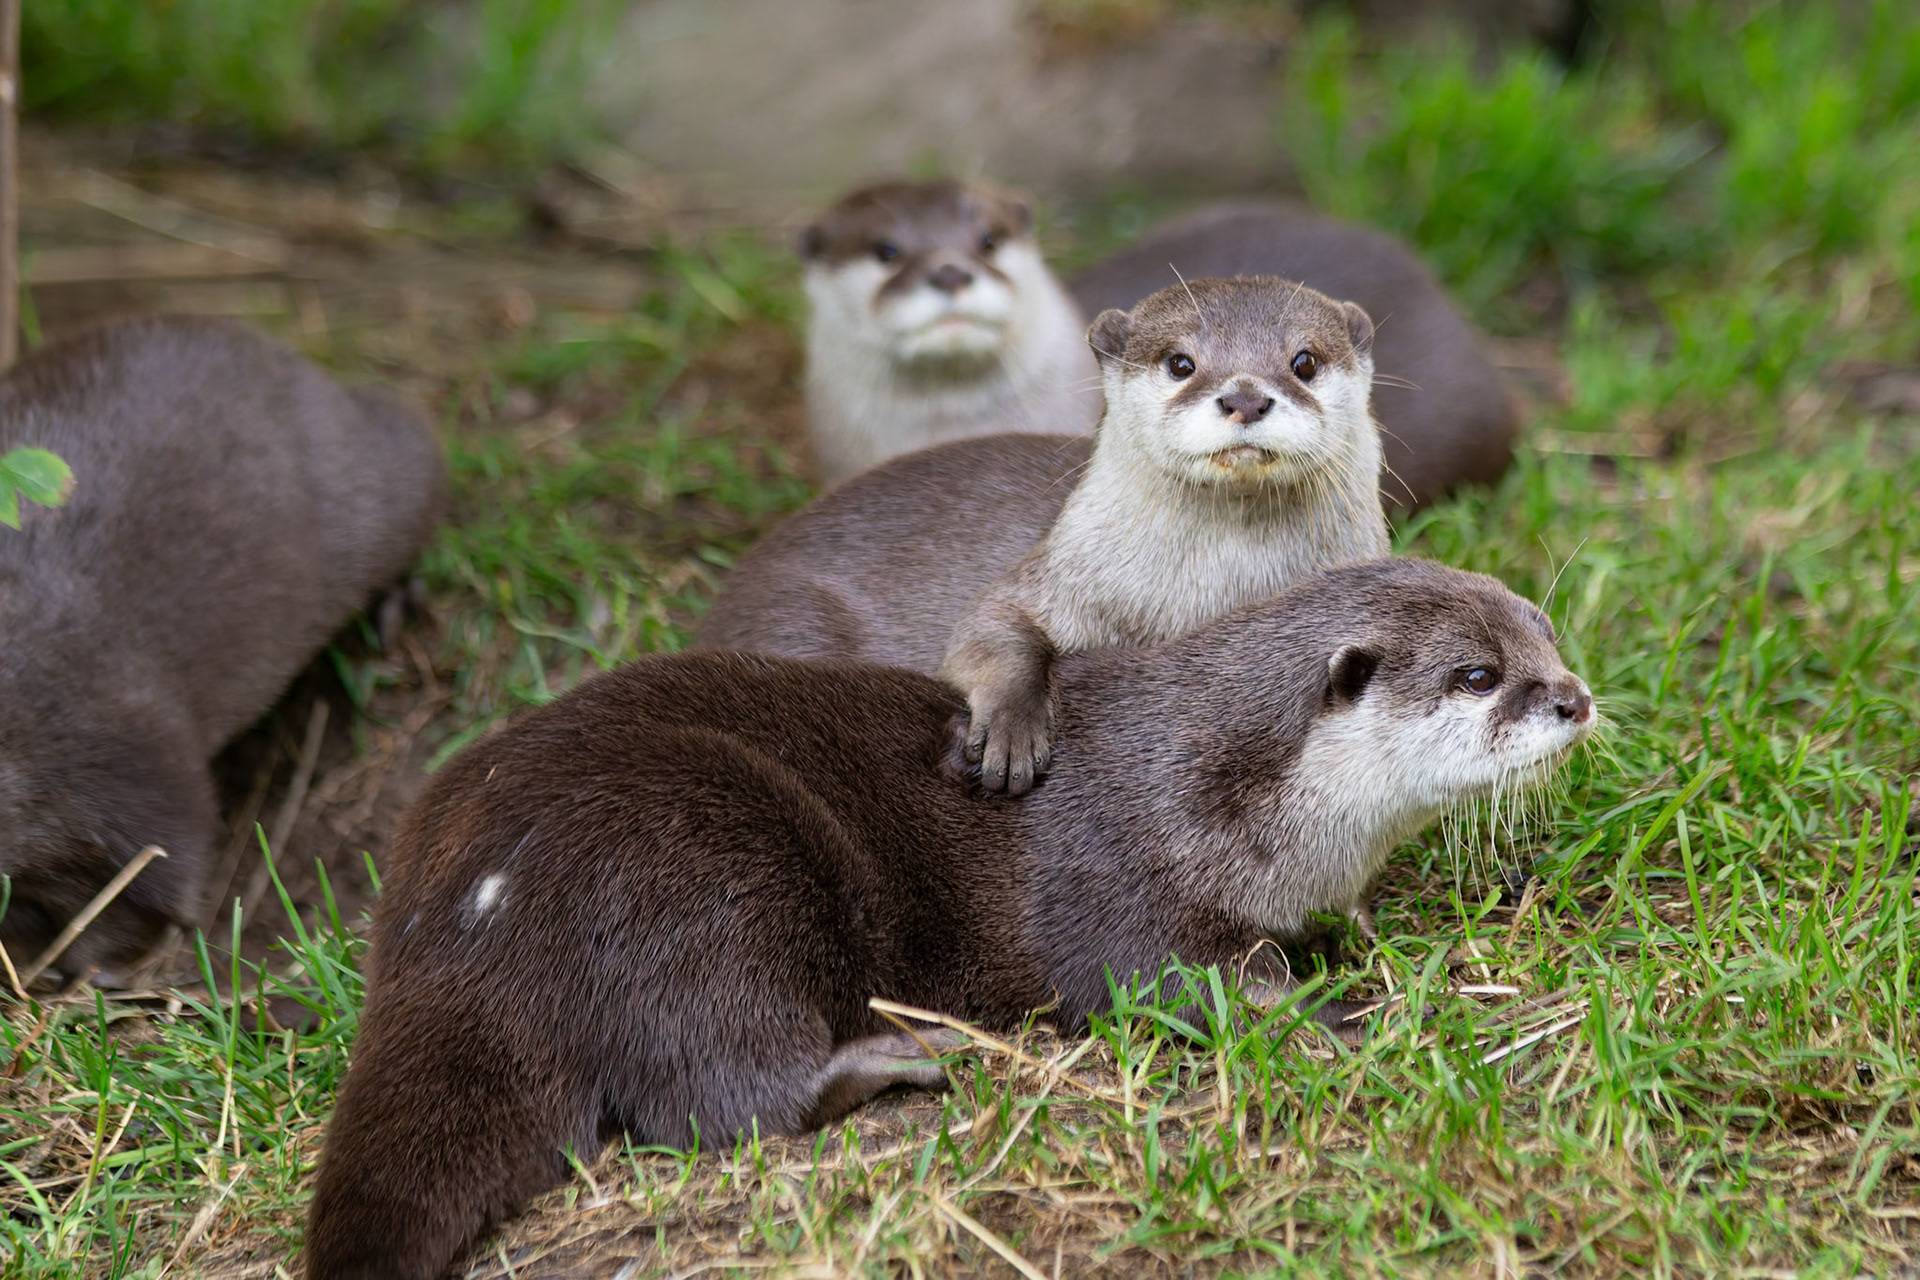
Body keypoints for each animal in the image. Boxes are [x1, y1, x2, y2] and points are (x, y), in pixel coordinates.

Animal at [305, 558, 1594, 1280]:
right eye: (1478, 675)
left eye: (1543, 627)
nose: (1576, 698)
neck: (1232, 787)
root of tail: (453, 917)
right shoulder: (1113, 869)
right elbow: (1162, 975)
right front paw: (1334, 1013)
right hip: (698, 866)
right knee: (711, 1091)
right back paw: (901, 1053)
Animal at [700, 275, 1387, 793]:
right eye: (1180, 363)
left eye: (1304, 361)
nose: (1244, 397)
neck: (1216, 591)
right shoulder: (1057, 570)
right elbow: (988, 627)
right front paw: (1012, 731)